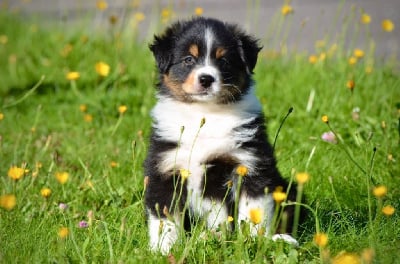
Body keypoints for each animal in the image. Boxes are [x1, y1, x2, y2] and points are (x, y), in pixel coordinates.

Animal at [145, 17, 298, 254]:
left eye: (224, 60)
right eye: (188, 59)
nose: (206, 79)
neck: (205, 113)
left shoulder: (249, 164)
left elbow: (254, 212)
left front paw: (253, 243)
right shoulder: (165, 168)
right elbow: (164, 218)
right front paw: (163, 250)